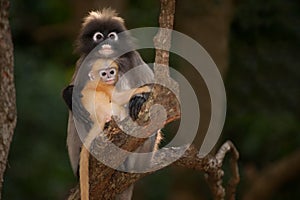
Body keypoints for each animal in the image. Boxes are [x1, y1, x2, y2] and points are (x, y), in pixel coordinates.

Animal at [79, 58, 150, 200]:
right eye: (103, 74)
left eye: (111, 71)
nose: (109, 77)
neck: (96, 81)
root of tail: (99, 120)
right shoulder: (106, 86)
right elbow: (118, 98)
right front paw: (144, 89)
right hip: (111, 110)